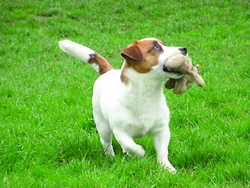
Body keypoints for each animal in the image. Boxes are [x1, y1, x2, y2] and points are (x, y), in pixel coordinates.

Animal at [58, 37, 188, 173]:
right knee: (107, 143)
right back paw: (111, 157)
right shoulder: (120, 131)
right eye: (155, 47)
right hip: (102, 126)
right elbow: (131, 146)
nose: (184, 49)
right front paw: (139, 153)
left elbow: (162, 151)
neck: (146, 93)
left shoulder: (162, 129)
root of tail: (108, 72)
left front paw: (167, 168)